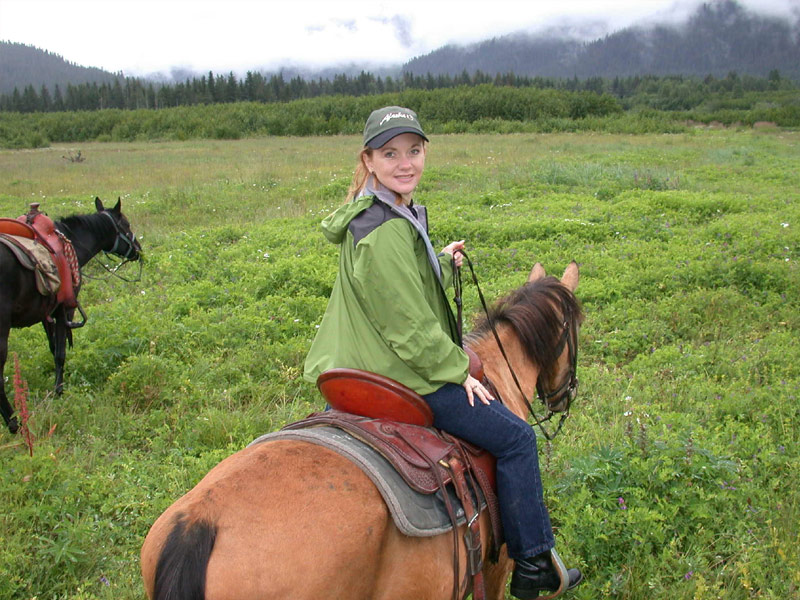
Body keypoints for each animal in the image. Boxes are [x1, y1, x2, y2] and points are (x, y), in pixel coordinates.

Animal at [0, 197, 141, 432]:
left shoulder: (46, 313)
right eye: (126, 224)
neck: (72, 241)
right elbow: (60, 352)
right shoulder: (64, 309)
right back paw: (14, 423)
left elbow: (52, 348)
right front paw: (59, 390)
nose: (138, 250)